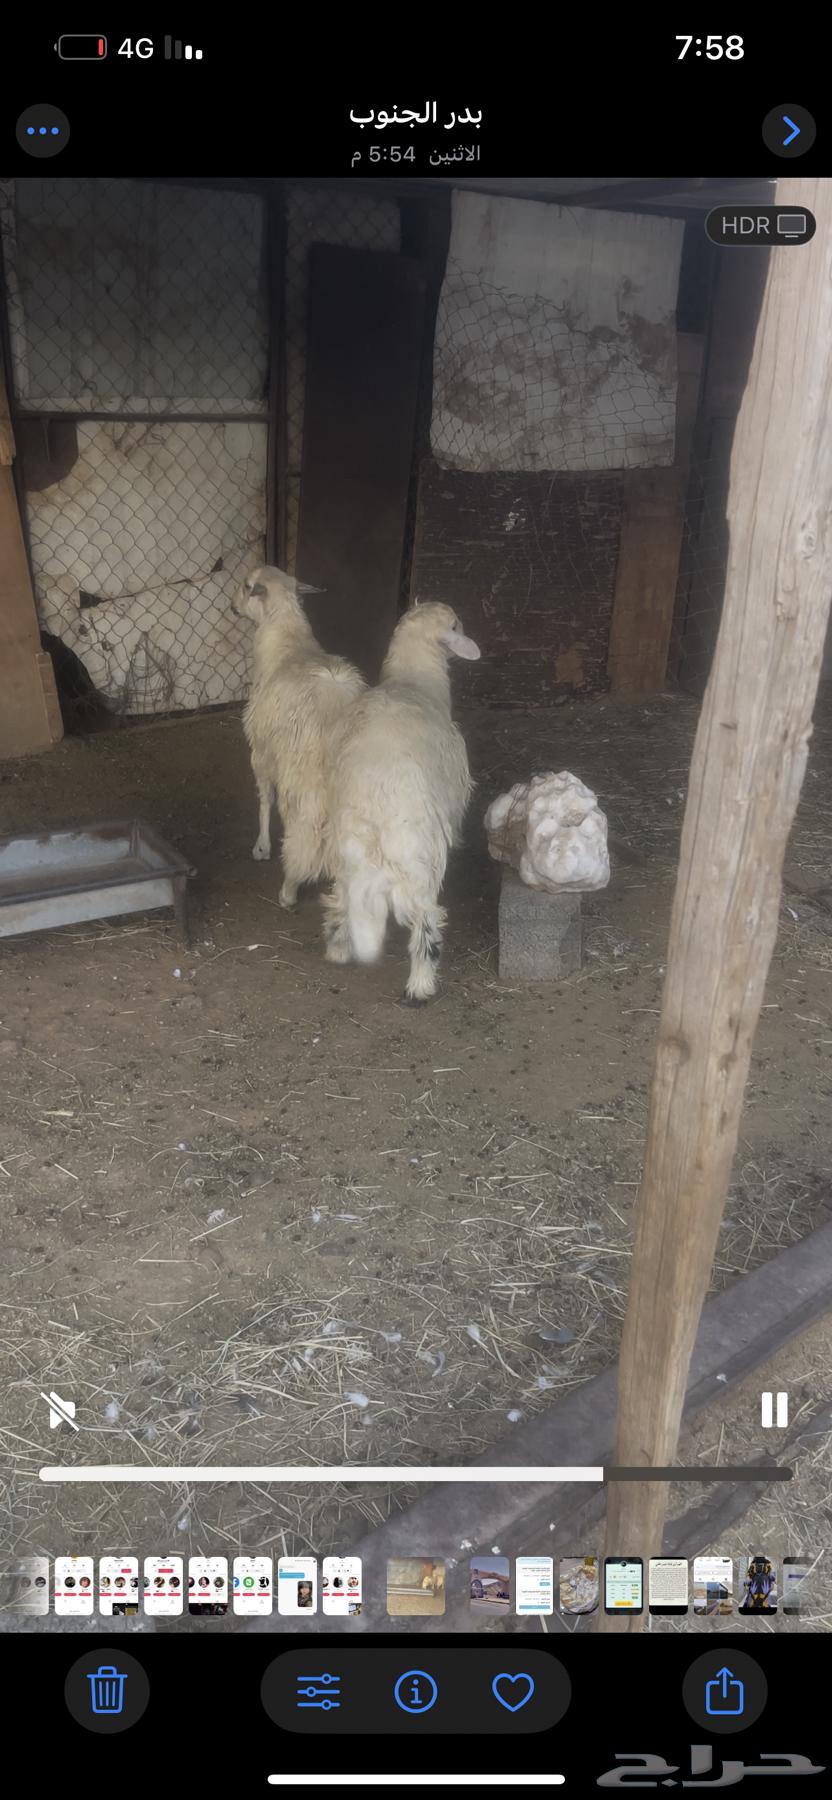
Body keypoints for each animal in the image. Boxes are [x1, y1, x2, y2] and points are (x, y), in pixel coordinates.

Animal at [232, 565, 365, 909]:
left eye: (246, 586)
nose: (232, 606)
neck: (287, 640)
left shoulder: (261, 749)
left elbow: (264, 798)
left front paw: (262, 846)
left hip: (302, 783)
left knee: (304, 836)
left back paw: (289, 890)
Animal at [322, 601, 480, 1004]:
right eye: (456, 624)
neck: (412, 680)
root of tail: (374, 823)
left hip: (344, 856)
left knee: (342, 901)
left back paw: (339, 948)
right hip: (419, 860)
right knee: (426, 921)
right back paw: (421, 985)